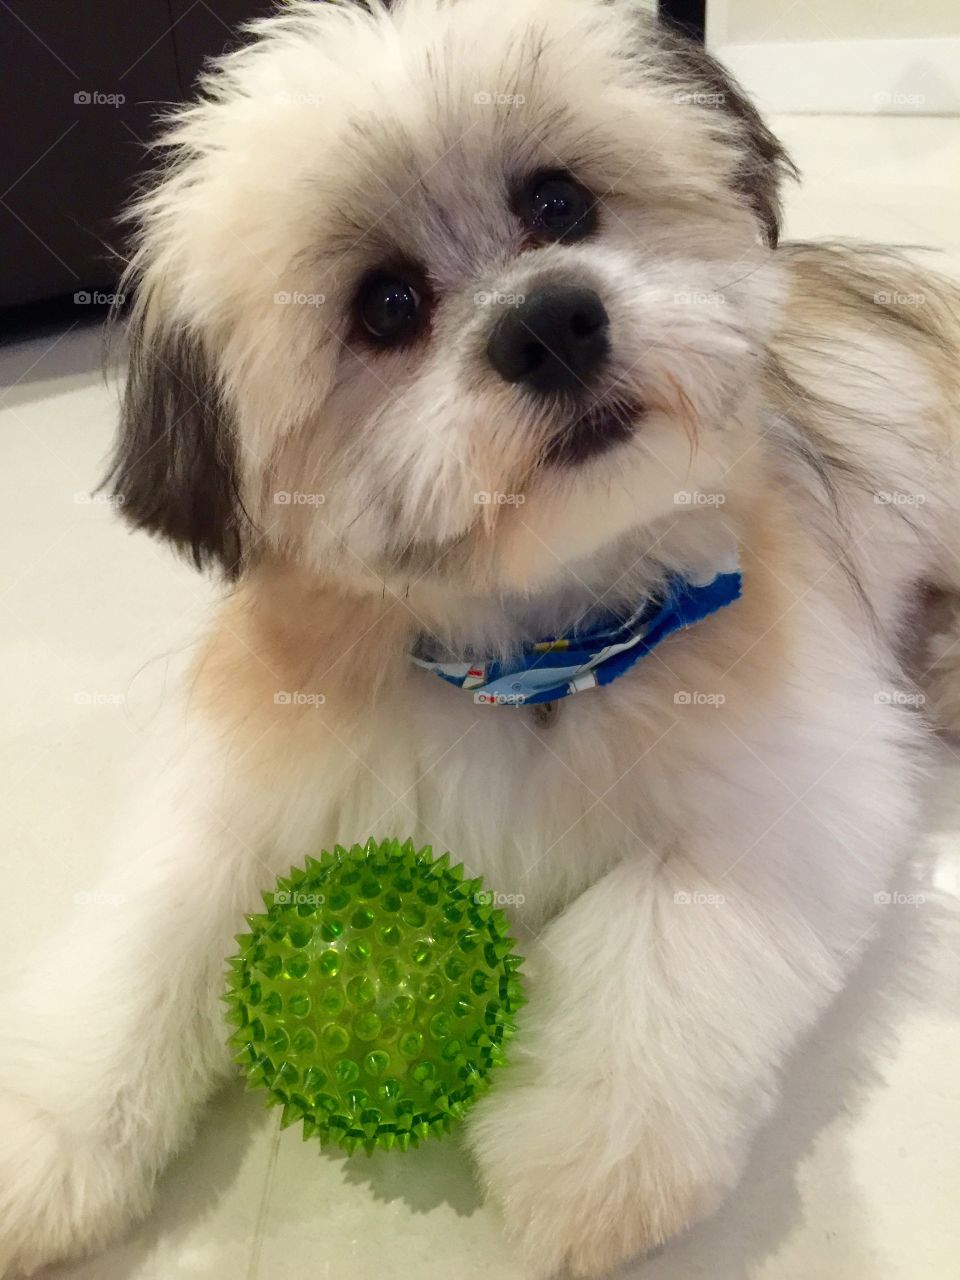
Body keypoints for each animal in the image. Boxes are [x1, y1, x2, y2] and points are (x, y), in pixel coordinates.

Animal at [1, 0, 960, 1274]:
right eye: (386, 306)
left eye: (558, 203)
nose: (550, 322)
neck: (530, 650)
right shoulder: (240, 791)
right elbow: (146, 937)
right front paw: (45, 1134)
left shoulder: (777, 794)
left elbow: (660, 934)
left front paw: (588, 1151)